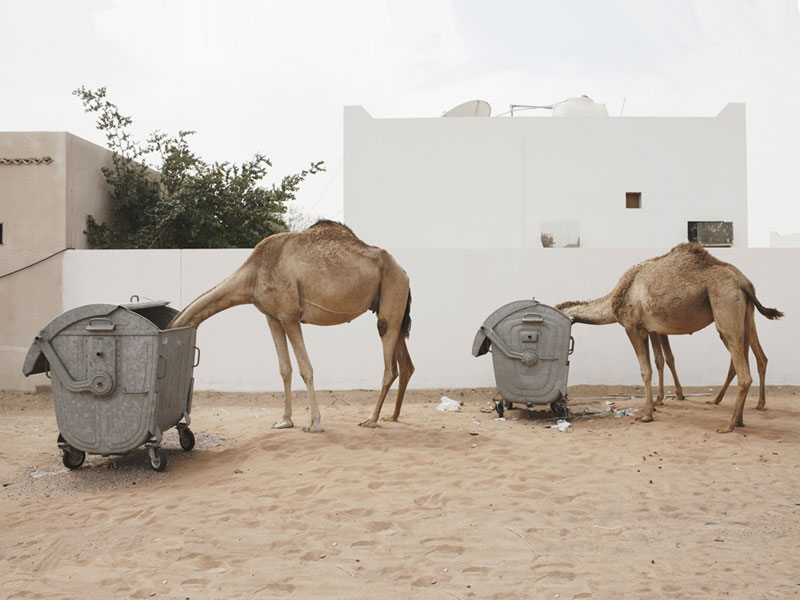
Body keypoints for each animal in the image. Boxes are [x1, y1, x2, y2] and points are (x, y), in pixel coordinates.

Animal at [166, 220, 412, 432]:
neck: (253, 274)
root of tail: (404, 272)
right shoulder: (272, 317)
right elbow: (285, 369)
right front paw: (284, 421)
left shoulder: (290, 315)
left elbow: (305, 368)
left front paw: (314, 424)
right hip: (393, 309)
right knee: (406, 365)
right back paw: (392, 416)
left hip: (391, 295)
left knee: (390, 363)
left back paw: (371, 419)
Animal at [556, 241, 780, 434]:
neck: (613, 300)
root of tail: (743, 282)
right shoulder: (651, 329)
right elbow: (660, 360)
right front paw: (658, 402)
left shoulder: (632, 326)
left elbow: (646, 370)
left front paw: (648, 414)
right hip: (745, 317)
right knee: (751, 358)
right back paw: (739, 418)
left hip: (725, 308)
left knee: (744, 372)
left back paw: (729, 424)